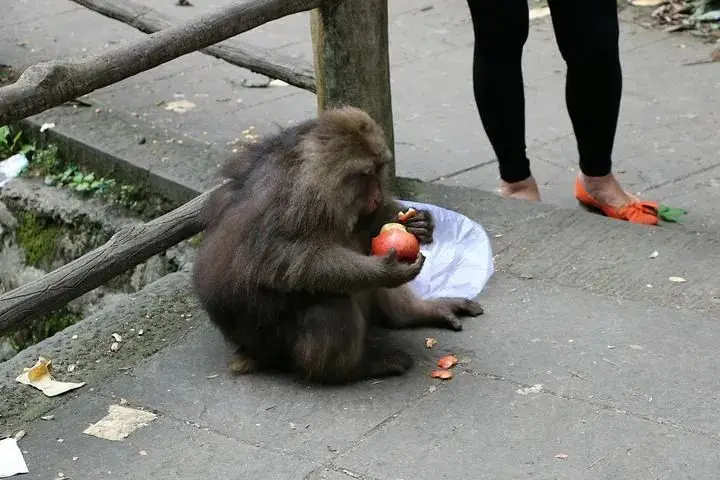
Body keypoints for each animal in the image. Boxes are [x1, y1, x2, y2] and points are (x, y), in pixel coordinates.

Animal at [193, 107, 484, 384]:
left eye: (379, 169)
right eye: (365, 174)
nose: (376, 196)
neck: (317, 174)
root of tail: (249, 352)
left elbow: (369, 224)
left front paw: (421, 223)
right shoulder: (298, 199)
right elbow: (281, 260)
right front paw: (385, 271)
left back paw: (412, 314)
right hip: (275, 343)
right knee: (328, 296)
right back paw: (352, 369)